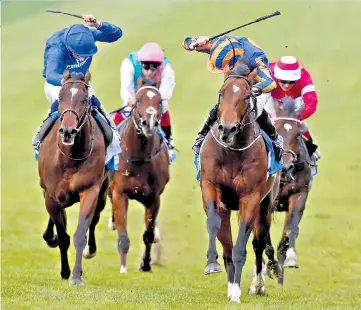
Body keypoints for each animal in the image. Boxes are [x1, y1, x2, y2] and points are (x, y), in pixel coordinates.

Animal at [38, 69, 109, 286]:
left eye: (84, 99)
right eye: (61, 97)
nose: (68, 131)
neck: (70, 158)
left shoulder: (90, 191)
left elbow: (79, 234)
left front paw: (76, 276)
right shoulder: (51, 196)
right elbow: (63, 237)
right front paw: (64, 271)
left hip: (103, 193)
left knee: (95, 218)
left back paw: (90, 250)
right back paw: (49, 236)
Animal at [108, 79, 169, 272]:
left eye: (159, 101)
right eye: (138, 100)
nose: (149, 123)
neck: (139, 157)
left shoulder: (153, 198)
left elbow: (148, 234)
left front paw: (146, 264)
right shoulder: (120, 193)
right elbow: (123, 235)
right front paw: (123, 268)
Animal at [198, 58, 278, 302]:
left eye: (246, 96)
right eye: (221, 93)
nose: (227, 129)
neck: (232, 150)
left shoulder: (250, 198)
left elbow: (242, 244)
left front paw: (237, 293)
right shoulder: (210, 187)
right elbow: (214, 226)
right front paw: (211, 263)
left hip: (265, 205)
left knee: (258, 242)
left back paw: (256, 286)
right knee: (227, 243)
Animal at [262, 96, 312, 284]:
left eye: (298, 133)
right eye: (275, 130)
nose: (285, 166)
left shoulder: (299, 194)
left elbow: (291, 230)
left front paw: (290, 260)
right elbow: (265, 239)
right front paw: (271, 266)